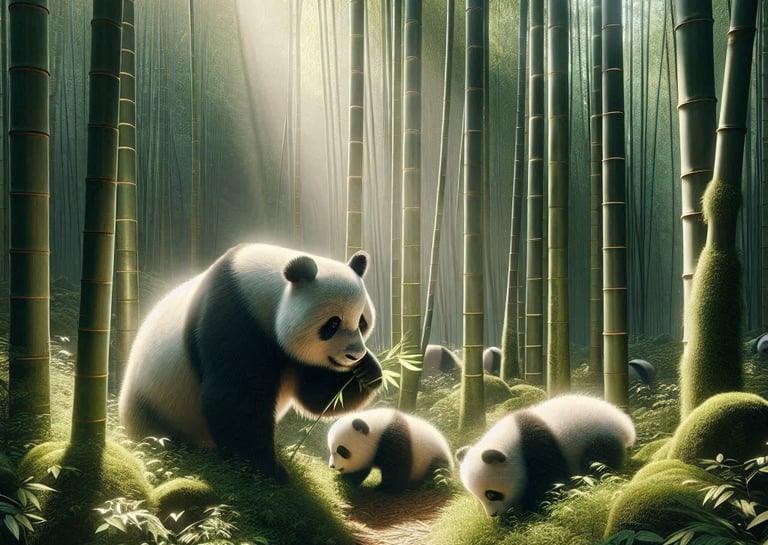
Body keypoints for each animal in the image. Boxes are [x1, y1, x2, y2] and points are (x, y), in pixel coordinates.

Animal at [118, 243, 383, 482]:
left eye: (362, 322)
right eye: (333, 324)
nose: (354, 355)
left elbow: (317, 397)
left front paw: (367, 371)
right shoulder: (234, 317)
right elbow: (235, 398)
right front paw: (266, 470)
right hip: (156, 403)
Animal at [457, 394, 635, 516]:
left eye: (492, 494)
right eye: (477, 496)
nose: (492, 515)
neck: (512, 442)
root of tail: (624, 424)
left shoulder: (538, 447)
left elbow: (549, 482)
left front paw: (531, 509)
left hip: (597, 438)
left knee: (598, 463)